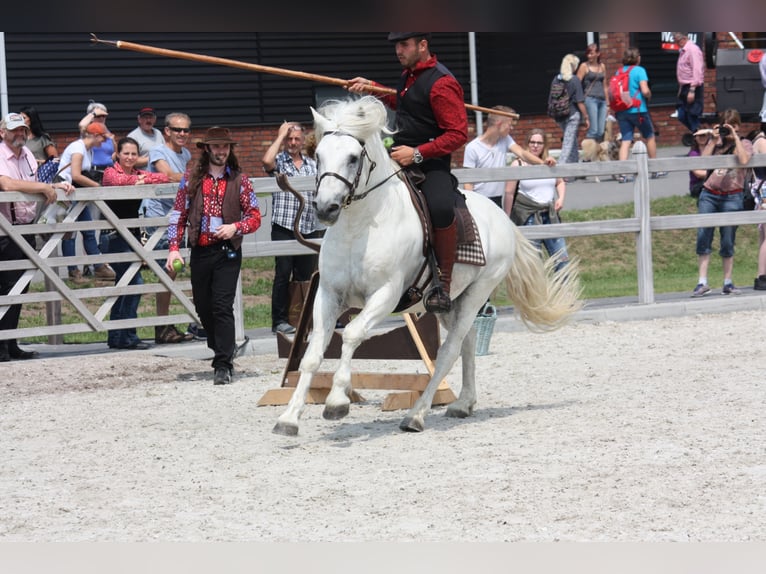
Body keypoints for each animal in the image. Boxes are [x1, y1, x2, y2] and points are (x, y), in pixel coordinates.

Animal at [273, 96, 582, 435]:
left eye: (353, 158)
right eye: (318, 155)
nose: (325, 208)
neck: (361, 226)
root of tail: (501, 216)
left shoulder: (385, 295)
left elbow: (352, 334)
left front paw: (337, 402)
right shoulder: (328, 294)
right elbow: (313, 354)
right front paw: (288, 418)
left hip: (476, 293)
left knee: (449, 351)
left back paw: (416, 415)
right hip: (452, 302)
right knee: (467, 342)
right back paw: (462, 403)